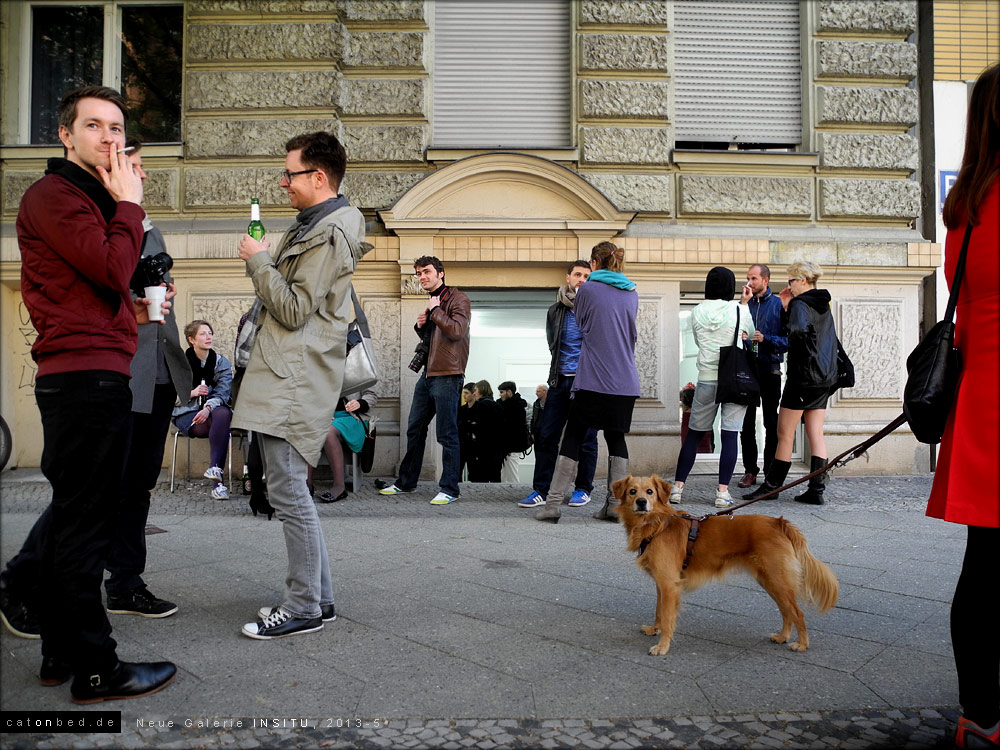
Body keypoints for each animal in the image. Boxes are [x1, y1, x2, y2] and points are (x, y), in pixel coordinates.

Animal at [612, 478, 840, 656]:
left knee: (797, 612)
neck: (657, 525)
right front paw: (654, 629)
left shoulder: (669, 585)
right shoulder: (662, 584)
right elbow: (659, 611)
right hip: (770, 581)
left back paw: (802, 644)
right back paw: (783, 636)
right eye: (632, 491)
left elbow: (667, 617)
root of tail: (779, 522)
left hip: (777, 580)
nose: (641, 502)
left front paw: (662, 646)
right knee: (786, 611)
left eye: (650, 492)